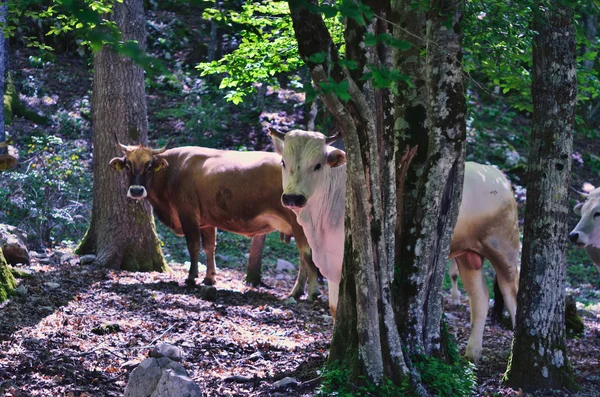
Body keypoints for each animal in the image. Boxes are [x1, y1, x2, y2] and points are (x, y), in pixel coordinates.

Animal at [109, 135, 322, 296]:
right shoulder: (207, 221)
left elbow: (193, 245)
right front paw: (209, 278)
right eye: (127, 165)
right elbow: (210, 246)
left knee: (306, 254)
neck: (172, 171)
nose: (136, 190)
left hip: (298, 223)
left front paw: (191, 277)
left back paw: (310, 293)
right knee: (304, 257)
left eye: (149, 166)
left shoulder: (188, 214)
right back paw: (298, 292)